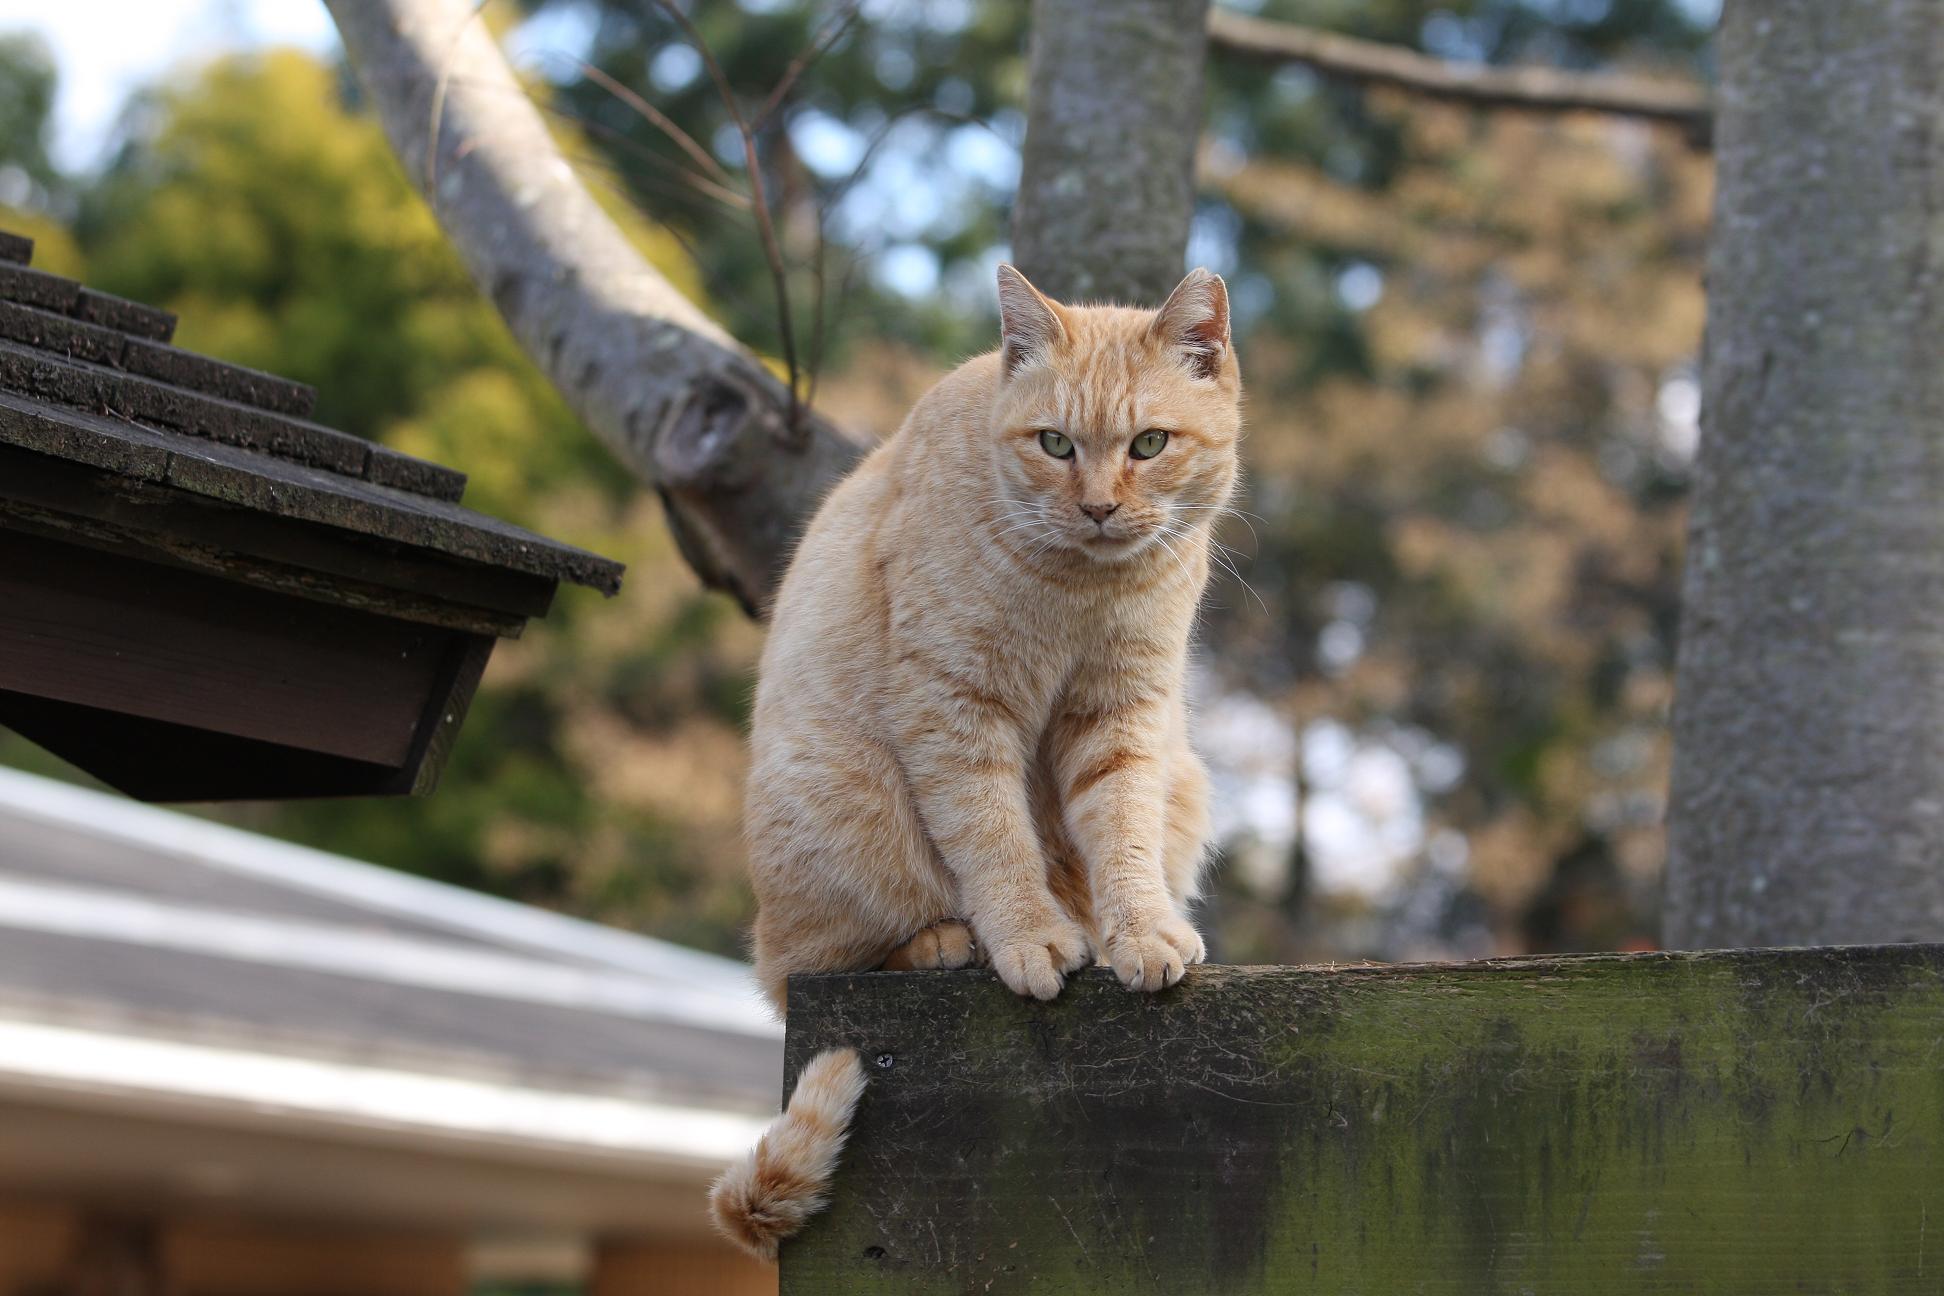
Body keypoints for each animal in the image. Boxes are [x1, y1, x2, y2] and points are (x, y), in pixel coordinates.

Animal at [707, 260, 1236, 1259]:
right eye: (1056, 444)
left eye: (1149, 443)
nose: (1099, 506)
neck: (1080, 586)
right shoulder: (955, 707)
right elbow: (994, 839)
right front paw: (1029, 937)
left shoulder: (1125, 716)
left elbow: (1125, 836)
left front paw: (1139, 931)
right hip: (844, 822)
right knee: (807, 965)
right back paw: (949, 941)